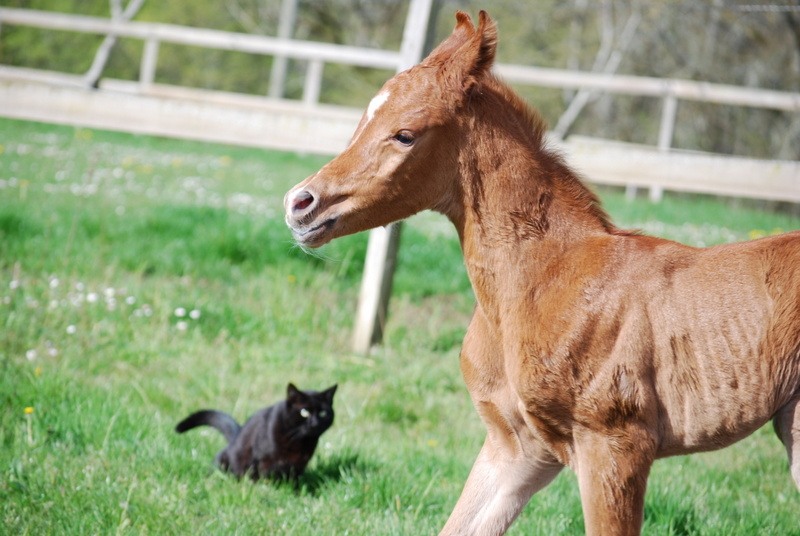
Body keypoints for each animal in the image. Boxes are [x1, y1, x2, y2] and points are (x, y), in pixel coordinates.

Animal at [177, 382, 336, 482]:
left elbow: (295, 481)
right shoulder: (263, 462)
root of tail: (235, 436)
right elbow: (265, 478)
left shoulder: (299, 466)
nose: (315, 423)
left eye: (323, 413)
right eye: (304, 412)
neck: (298, 441)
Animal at [282, 9, 800, 536]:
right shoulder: (517, 450)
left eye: (405, 134)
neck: (544, 281)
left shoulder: (616, 446)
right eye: (363, 119)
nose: (300, 204)